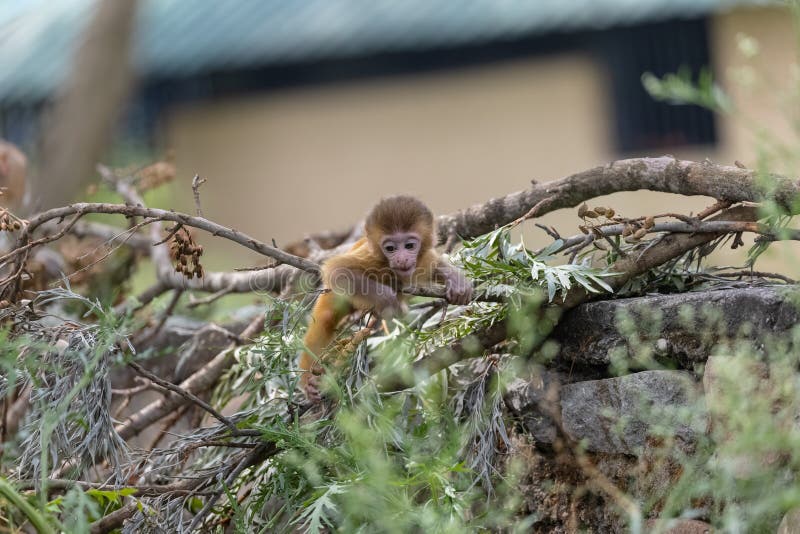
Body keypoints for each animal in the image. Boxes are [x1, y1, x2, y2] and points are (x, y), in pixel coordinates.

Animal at [299, 195, 473, 402]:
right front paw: (387, 300)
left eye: (409, 246)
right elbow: (338, 270)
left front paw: (456, 281)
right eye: (390, 248)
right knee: (326, 317)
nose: (401, 259)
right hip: (334, 295)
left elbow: (435, 263)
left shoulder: (424, 259)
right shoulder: (371, 258)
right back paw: (309, 381)